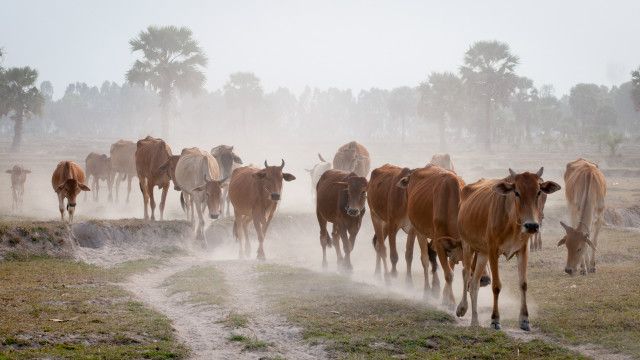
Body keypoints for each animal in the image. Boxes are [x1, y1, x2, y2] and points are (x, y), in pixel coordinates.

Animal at [396, 165, 464, 308]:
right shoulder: (440, 242)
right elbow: (449, 274)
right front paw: (451, 303)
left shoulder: (451, 245)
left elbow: (450, 268)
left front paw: (446, 299)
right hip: (417, 229)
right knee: (424, 258)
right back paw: (427, 291)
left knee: (430, 252)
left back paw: (435, 288)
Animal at [456, 167, 560, 330]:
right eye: (516, 192)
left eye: (538, 192)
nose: (532, 225)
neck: (512, 223)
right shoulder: (493, 251)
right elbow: (496, 286)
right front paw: (495, 320)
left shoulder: (523, 251)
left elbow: (523, 284)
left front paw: (524, 320)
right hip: (467, 245)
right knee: (466, 273)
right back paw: (462, 308)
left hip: (482, 253)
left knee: (474, 284)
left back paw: (475, 321)